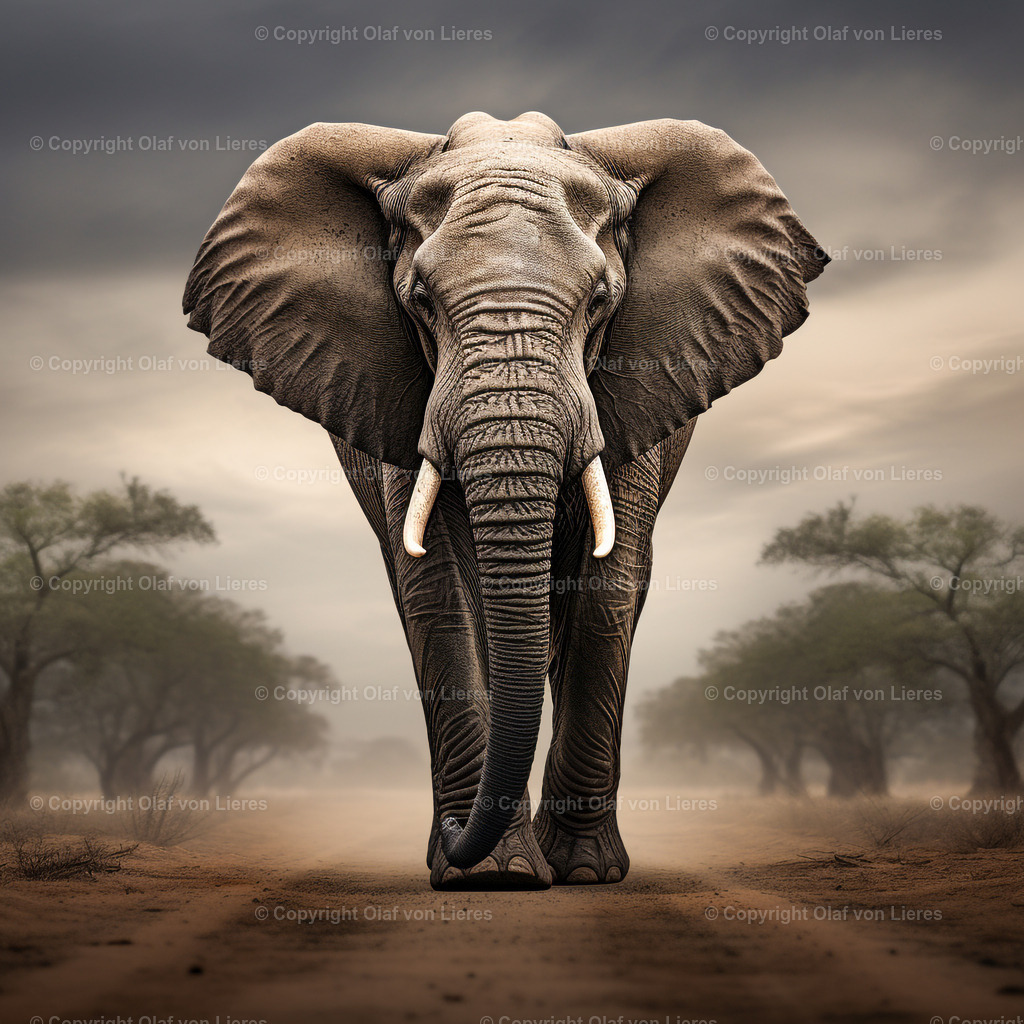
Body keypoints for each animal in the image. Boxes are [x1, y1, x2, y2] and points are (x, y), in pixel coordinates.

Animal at [183, 111, 827, 890]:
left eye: (601, 301)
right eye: (420, 302)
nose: (457, 832)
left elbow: (607, 589)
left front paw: (583, 872)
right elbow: (437, 592)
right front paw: (491, 875)